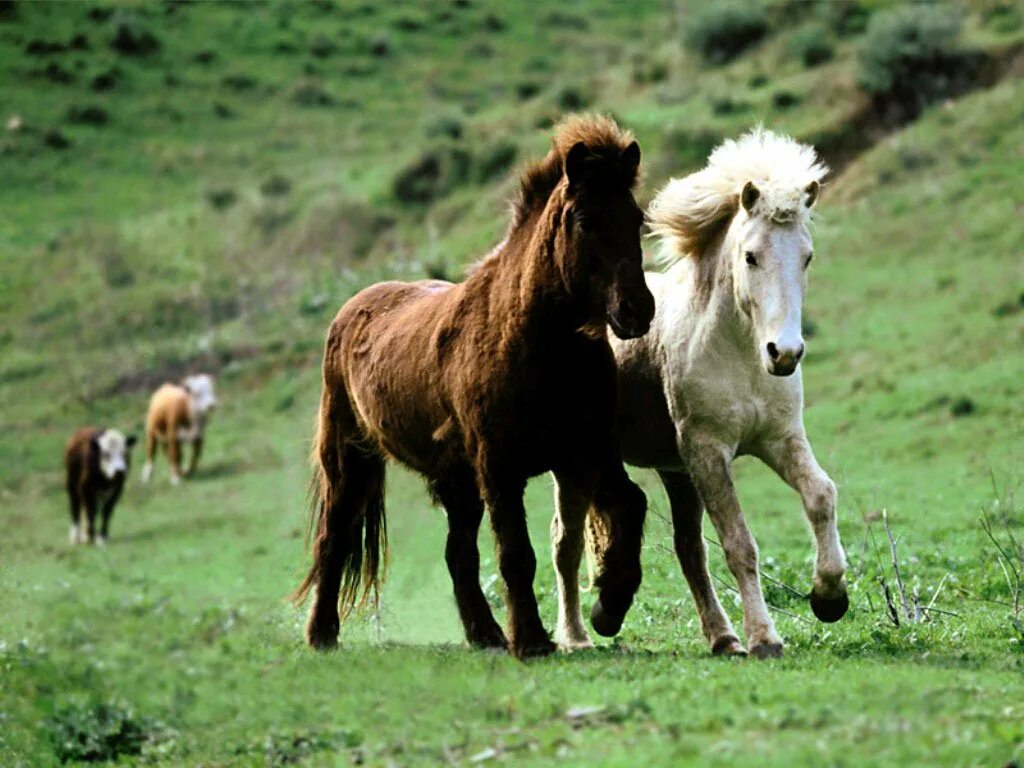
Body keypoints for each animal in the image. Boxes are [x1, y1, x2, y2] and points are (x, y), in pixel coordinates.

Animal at [294, 115, 655, 663]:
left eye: (635, 218)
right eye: (584, 220)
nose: (637, 309)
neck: (535, 340)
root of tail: (353, 307)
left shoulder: (587, 451)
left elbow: (631, 505)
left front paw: (607, 608)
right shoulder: (499, 467)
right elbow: (516, 554)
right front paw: (532, 641)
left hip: (456, 480)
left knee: (457, 554)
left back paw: (485, 634)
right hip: (351, 461)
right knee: (333, 540)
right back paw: (322, 634)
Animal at [552, 129, 847, 659]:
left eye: (807, 256)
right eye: (751, 256)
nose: (785, 352)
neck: (741, 355)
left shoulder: (779, 439)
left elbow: (821, 495)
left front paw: (829, 597)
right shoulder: (709, 451)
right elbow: (739, 544)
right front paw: (765, 638)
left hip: (675, 472)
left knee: (688, 550)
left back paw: (722, 638)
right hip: (578, 465)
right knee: (565, 544)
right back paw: (577, 636)